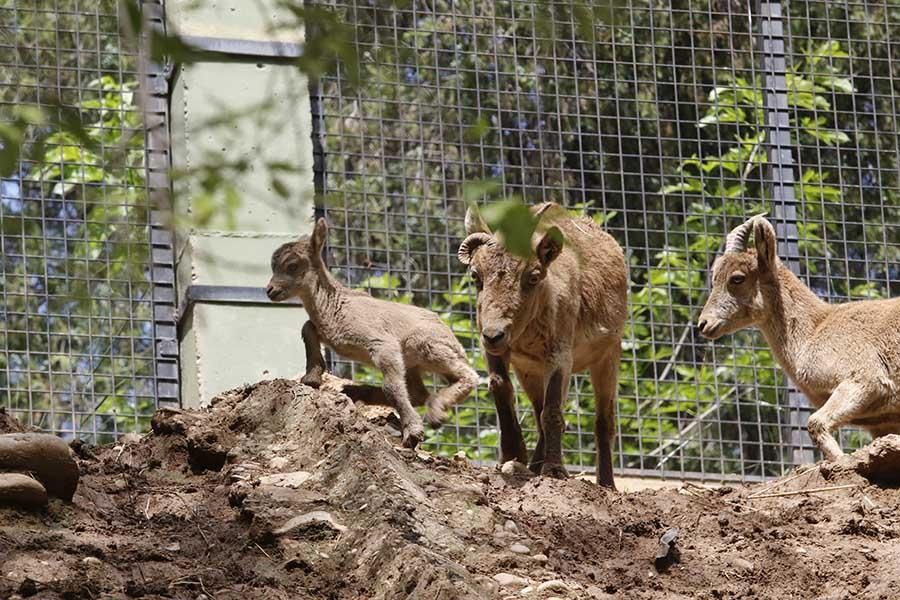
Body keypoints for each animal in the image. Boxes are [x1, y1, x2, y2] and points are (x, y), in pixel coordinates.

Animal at [266, 218, 478, 448]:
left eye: (292, 265)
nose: (270, 290)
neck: (334, 306)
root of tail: (457, 344)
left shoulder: (382, 344)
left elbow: (391, 387)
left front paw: (412, 432)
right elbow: (307, 327)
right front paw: (312, 377)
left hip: (426, 346)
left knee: (469, 376)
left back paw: (435, 411)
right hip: (413, 364)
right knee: (417, 392)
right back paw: (357, 391)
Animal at [700, 213, 900, 462]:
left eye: (737, 278)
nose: (703, 324)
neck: (815, 330)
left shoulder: (865, 378)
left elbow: (815, 423)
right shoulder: (883, 423)